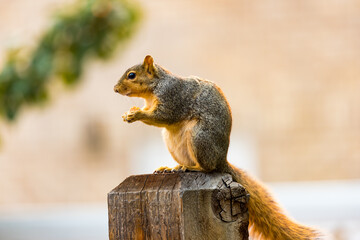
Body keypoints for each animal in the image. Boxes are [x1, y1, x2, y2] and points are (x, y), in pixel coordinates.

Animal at [114, 55, 320, 239]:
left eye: (131, 75)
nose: (115, 89)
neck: (155, 87)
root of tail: (222, 159)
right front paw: (130, 113)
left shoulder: (173, 97)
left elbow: (164, 116)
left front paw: (135, 114)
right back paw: (172, 168)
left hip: (199, 137)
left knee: (209, 167)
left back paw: (191, 167)